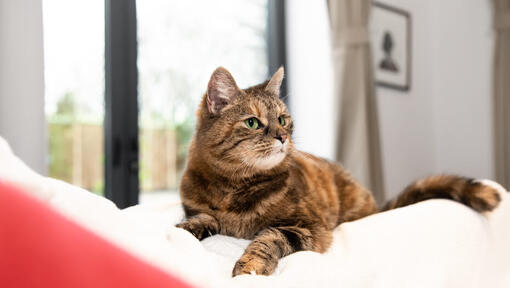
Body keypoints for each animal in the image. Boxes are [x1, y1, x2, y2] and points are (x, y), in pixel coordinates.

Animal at [175, 67, 502, 276]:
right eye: (253, 122)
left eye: (282, 119)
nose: (283, 137)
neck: (234, 187)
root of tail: (376, 207)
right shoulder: (198, 209)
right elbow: (199, 221)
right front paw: (182, 231)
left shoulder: (310, 227)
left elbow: (269, 238)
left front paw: (250, 266)